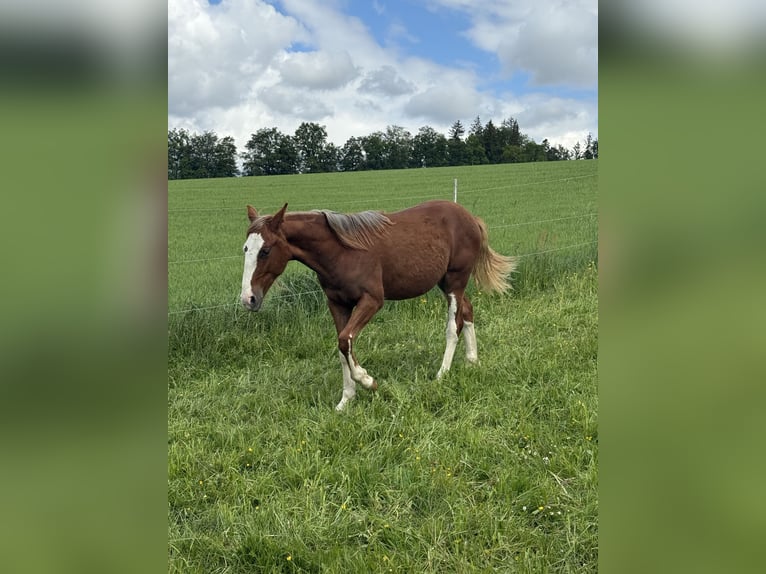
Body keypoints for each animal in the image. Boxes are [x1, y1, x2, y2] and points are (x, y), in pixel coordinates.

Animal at [239, 200, 517, 411]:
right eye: (245, 249)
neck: (342, 252)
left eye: (265, 250)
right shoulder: (337, 304)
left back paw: (442, 374)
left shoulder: (372, 301)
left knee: (453, 325)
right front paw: (345, 401)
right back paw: (471, 361)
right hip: (447, 284)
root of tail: (470, 217)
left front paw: (368, 381)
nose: (248, 299)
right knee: (468, 311)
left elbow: (345, 340)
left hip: (455, 282)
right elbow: (342, 347)